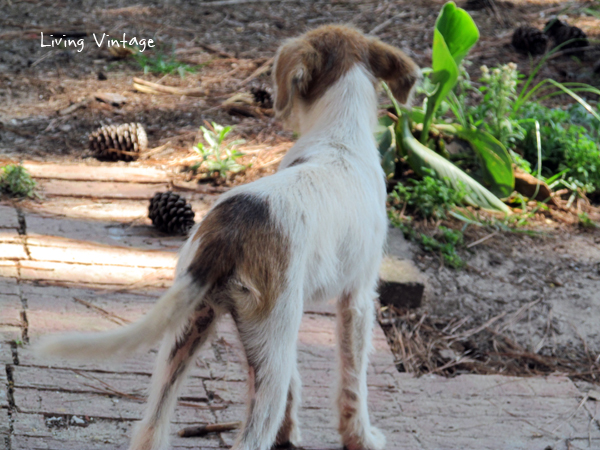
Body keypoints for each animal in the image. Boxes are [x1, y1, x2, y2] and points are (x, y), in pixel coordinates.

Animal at [38, 24, 418, 450]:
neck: (339, 136)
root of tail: (227, 236)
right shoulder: (358, 299)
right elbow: (354, 381)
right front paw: (361, 436)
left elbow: (298, 382)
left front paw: (290, 433)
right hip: (267, 338)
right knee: (252, 435)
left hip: (191, 329)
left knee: (151, 426)